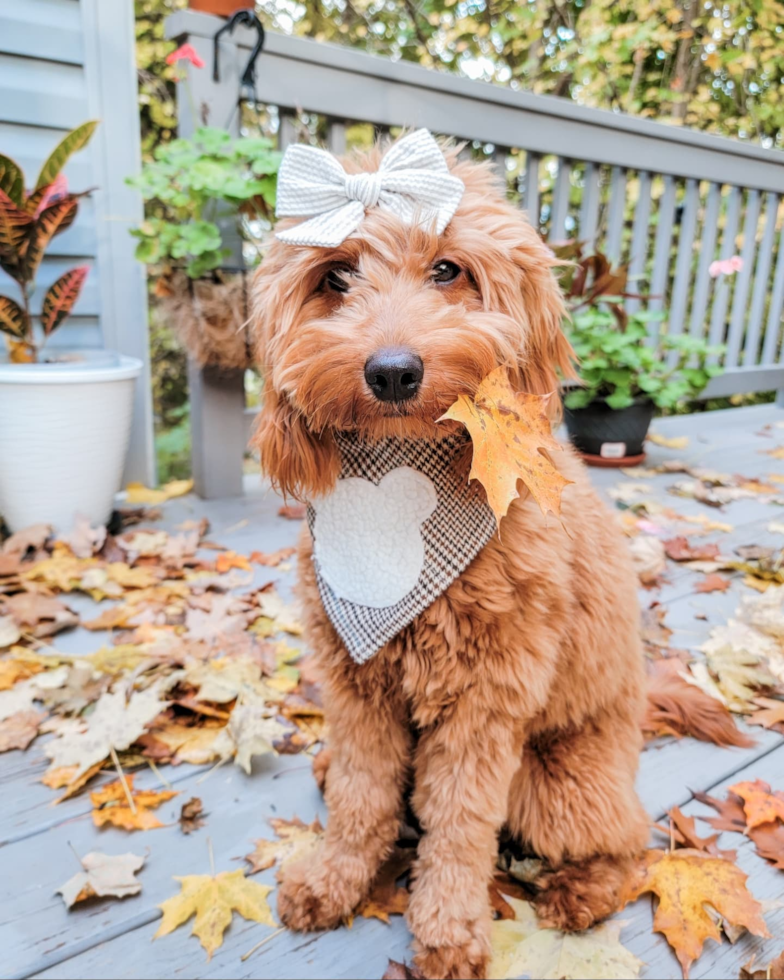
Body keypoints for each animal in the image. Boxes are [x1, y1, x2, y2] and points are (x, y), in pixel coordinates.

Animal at [253, 130, 648, 980]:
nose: (393, 371)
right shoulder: (355, 682)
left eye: (447, 270)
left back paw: (580, 892)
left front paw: (448, 930)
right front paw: (336, 877)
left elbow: (460, 821)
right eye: (335, 278)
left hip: (557, 781)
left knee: (631, 844)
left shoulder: (486, 700)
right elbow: (364, 793)